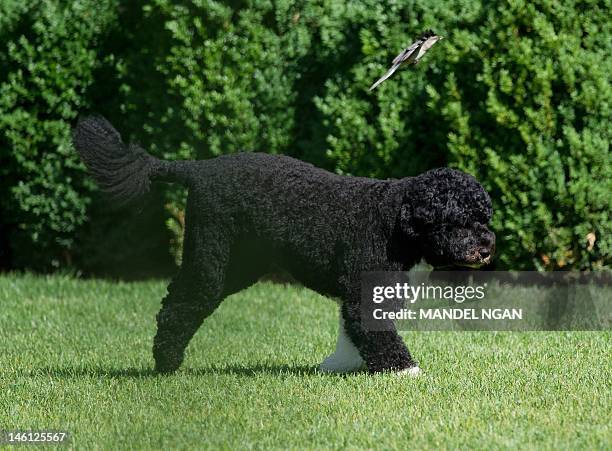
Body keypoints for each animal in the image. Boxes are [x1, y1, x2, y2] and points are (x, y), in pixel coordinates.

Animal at [71, 115, 494, 374]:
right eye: (459, 221)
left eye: (485, 218)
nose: (486, 247)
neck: (397, 220)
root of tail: (198, 169)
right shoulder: (364, 290)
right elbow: (372, 330)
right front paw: (404, 370)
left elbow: (352, 332)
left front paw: (341, 365)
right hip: (212, 258)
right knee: (177, 308)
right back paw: (166, 363)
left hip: (239, 265)